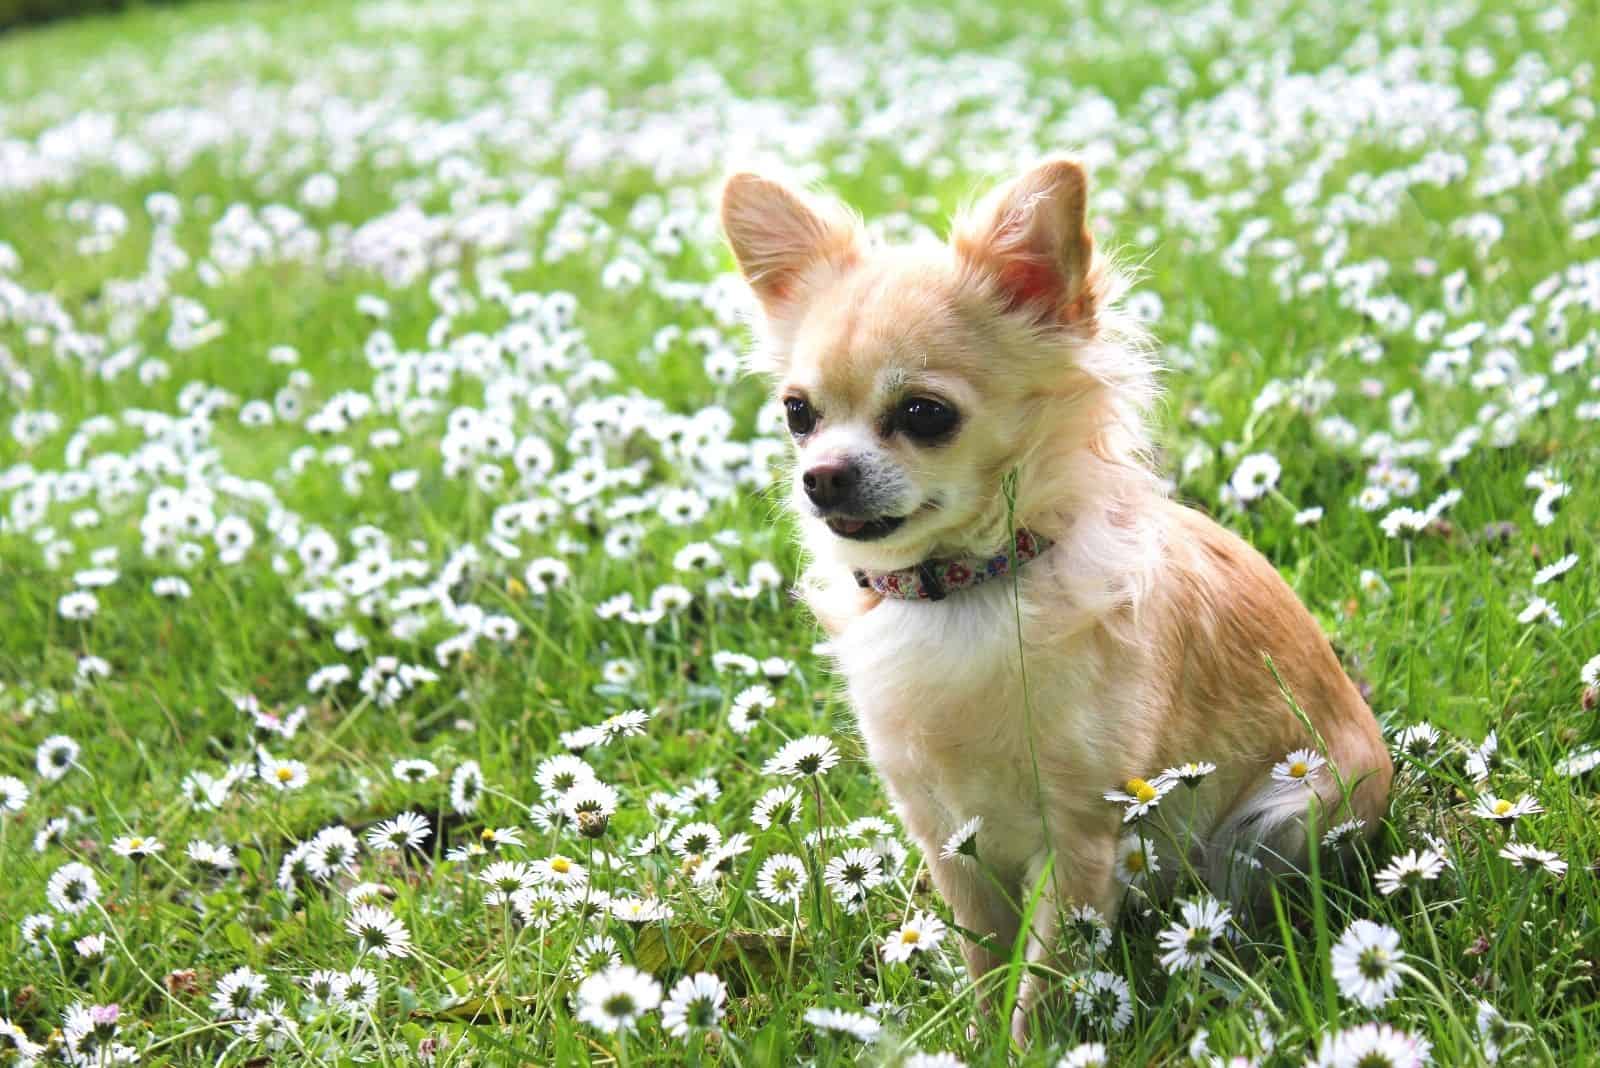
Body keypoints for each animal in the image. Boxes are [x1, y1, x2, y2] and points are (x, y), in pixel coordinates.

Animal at [720, 160, 1395, 1042]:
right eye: (798, 413)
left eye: (924, 414)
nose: (821, 476)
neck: (967, 586)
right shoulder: (949, 838)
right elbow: (984, 959)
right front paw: (975, 1042)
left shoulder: (1078, 837)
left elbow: (1041, 979)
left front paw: (1028, 1045)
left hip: (1285, 815)